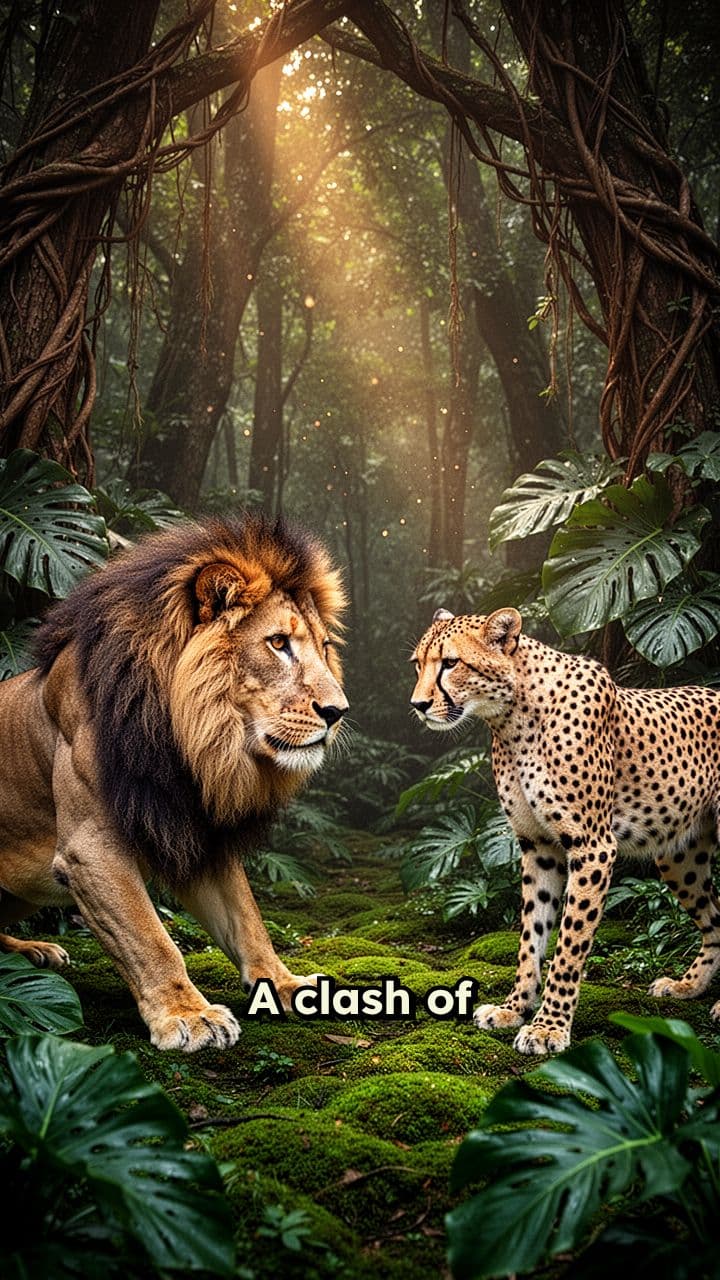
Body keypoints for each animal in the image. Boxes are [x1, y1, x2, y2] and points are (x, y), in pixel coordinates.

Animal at [0, 514, 348, 1051]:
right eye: (278, 643)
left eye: (325, 647)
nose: (338, 712)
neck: (190, 743)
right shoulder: (89, 849)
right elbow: (151, 939)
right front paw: (188, 1015)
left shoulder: (198, 830)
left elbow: (248, 921)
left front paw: (284, 986)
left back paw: (35, 950)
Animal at [410, 605, 720, 1055]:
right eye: (417, 664)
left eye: (451, 663)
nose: (418, 704)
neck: (513, 717)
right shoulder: (538, 846)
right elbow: (532, 935)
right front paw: (514, 1009)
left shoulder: (592, 848)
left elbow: (568, 944)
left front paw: (548, 1027)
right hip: (680, 857)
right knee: (715, 918)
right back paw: (689, 985)